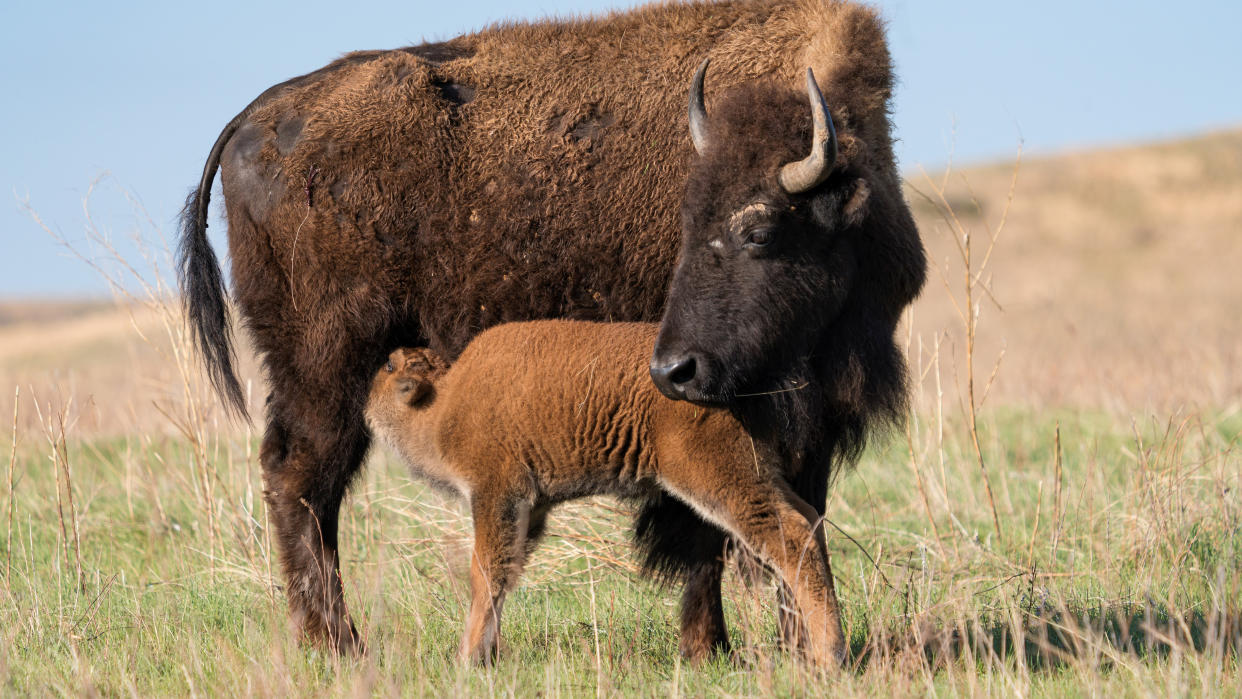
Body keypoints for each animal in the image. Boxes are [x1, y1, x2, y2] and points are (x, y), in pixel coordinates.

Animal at [360, 322, 844, 665]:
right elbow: (506, 576)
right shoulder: (530, 511)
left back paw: (829, 655)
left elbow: (486, 574)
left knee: (789, 533)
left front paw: (466, 657)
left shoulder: (496, 496)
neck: (444, 402)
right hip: (759, 473)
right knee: (809, 520)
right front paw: (486, 653)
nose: (364, 396)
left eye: (390, 367)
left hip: (720, 478)